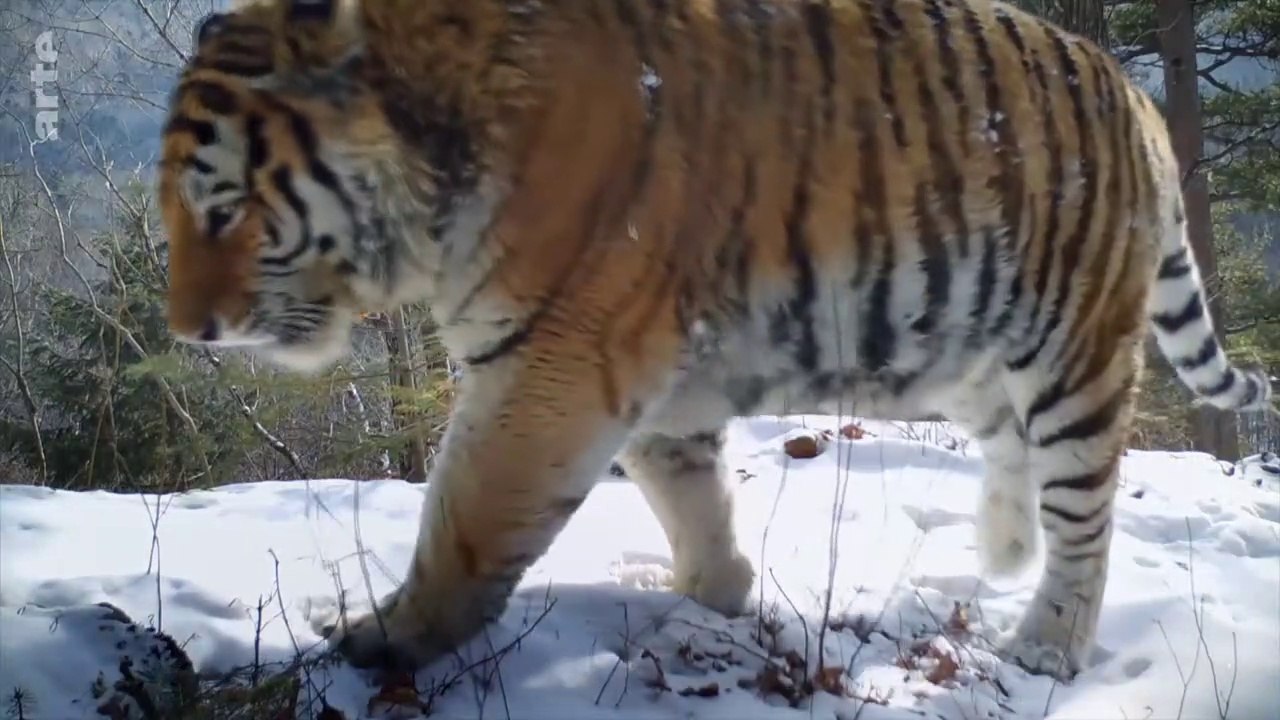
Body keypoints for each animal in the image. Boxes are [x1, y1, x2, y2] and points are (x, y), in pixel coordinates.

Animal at [159, 0, 1275, 680]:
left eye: (222, 208)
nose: (188, 328)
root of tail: (1133, 95)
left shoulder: (554, 361)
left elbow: (465, 522)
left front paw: (382, 640)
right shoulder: (645, 367)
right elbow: (686, 489)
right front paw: (714, 599)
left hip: (1074, 356)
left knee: (1084, 515)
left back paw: (1045, 643)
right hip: (974, 342)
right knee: (1009, 446)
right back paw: (1001, 552)